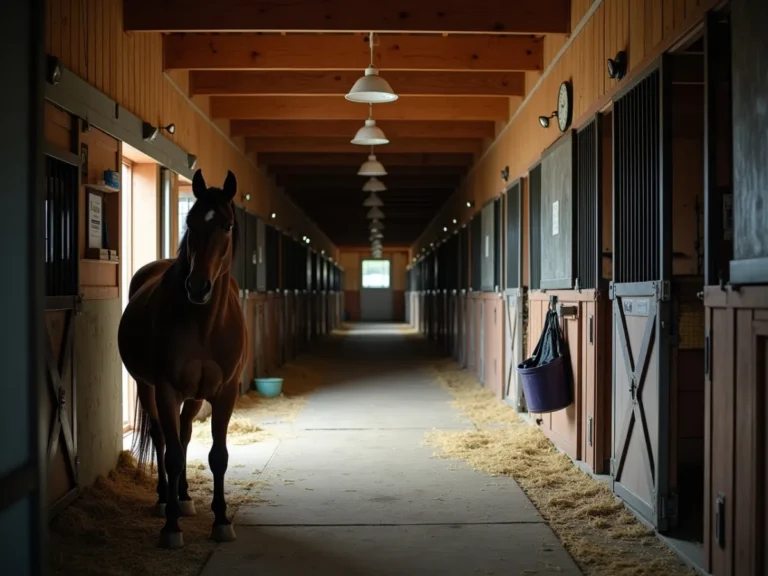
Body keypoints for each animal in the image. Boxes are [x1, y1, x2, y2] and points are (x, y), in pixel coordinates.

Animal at [117, 169, 248, 549]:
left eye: (227, 225)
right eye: (190, 222)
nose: (198, 287)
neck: (204, 324)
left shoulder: (225, 392)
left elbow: (218, 456)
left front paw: (221, 520)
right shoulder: (166, 389)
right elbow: (172, 455)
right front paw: (171, 527)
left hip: (195, 396)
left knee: (186, 433)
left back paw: (185, 497)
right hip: (147, 388)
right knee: (162, 438)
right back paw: (165, 499)